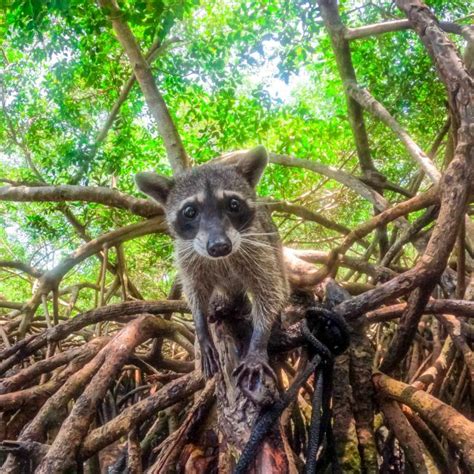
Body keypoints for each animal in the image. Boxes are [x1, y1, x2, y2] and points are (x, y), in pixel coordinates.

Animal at [135, 146, 286, 394]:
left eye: (233, 205)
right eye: (190, 212)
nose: (219, 246)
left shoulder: (258, 247)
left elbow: (269, 291)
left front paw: (258, 342)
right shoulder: (187, 254)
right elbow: (194, 291)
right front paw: (201, 326)